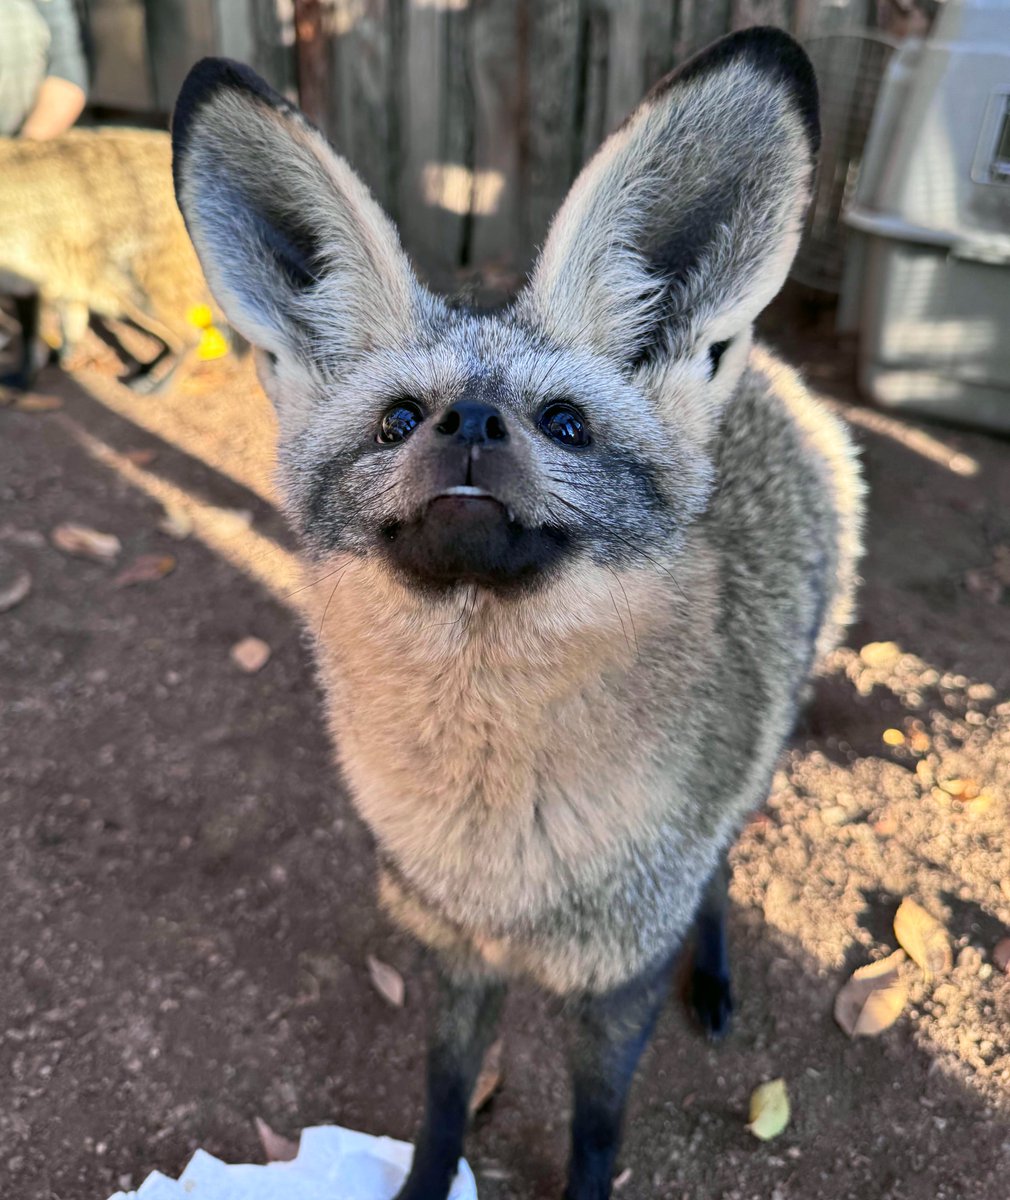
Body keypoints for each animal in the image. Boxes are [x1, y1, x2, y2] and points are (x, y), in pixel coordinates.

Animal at [0, 127, 225, 393]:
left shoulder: (29, 282)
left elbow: (32, 343)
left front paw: (24, 380)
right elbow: (70, 329)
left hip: (143, 296)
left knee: (192, 338)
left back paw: (157, 388)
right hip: (117, 299)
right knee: (172, 339)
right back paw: (146, 371)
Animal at [171, 27, 864, 1200]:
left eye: (566, 425)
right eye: (399, 418)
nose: (470, 421)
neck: (500, 849)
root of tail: (770, 371)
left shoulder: (618, 977)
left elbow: (596, 1128)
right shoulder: (449, 952)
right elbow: (446, 1099)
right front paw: (421, 1185)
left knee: (722, 870)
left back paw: (717, 975)